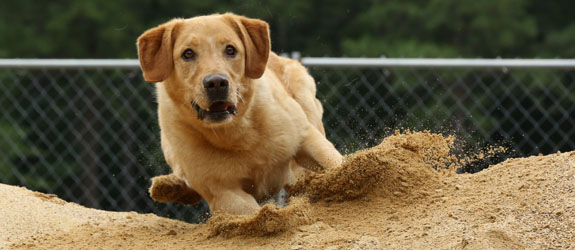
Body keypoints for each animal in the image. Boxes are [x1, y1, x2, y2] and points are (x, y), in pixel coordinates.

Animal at [137, 13, 342, 215]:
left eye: (230, 50)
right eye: (188, 54)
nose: (216, 83)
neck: (236, 133)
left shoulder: (305, 137)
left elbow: (335, 164)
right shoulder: (223, 193)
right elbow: (254, 212)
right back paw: (168, 187)